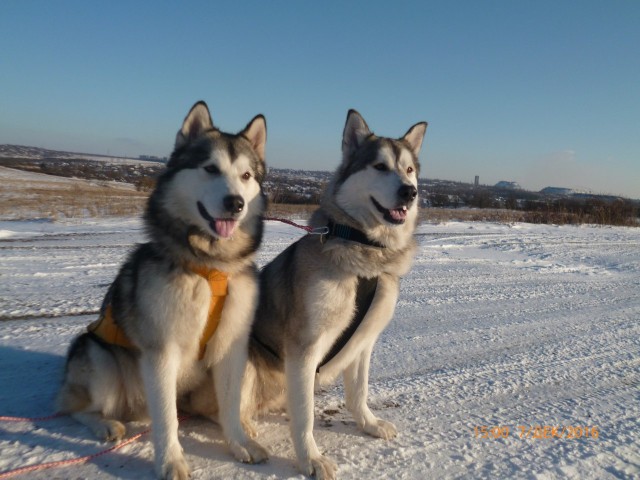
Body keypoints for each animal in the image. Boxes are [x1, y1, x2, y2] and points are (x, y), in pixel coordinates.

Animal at [248, 110, 428, 478]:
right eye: (379, 166)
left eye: (409, 169)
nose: (410, 192)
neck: (365, 255)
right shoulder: (305, 346)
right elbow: (305, 414)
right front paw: (310, 459)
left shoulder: (363, 340)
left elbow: (358, 393)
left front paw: (368, 424)